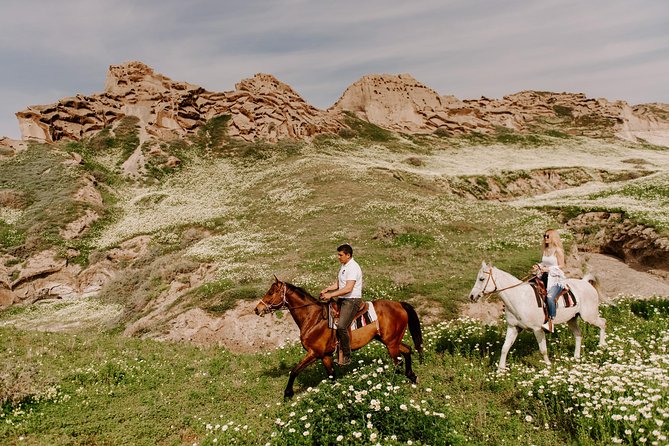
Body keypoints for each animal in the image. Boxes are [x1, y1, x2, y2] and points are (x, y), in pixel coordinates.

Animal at [256, 278, 422, 398]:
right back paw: (412, 376)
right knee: (407, 350)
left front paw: (288, 393)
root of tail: (399, 304)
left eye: (271, 292)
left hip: (391, 343)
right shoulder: (325, 356)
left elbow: (294, 371)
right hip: (390, 340)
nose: (257, 309)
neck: (314, 318)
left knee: (398, 362)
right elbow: (331, 375)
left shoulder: (314, 353)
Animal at [470, 260, 604, 372]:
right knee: (578, 334)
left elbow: (543, 350)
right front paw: (500, 370)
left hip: (589, 316)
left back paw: (602, 345)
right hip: (572, 319)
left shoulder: (538, 329)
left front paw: (548, 366)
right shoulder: (513, 327)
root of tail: (585, 282)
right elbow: (505, 347)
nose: (472, 296)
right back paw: (576, 356)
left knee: (603, 322)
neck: (519, 297)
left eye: (481, 279)